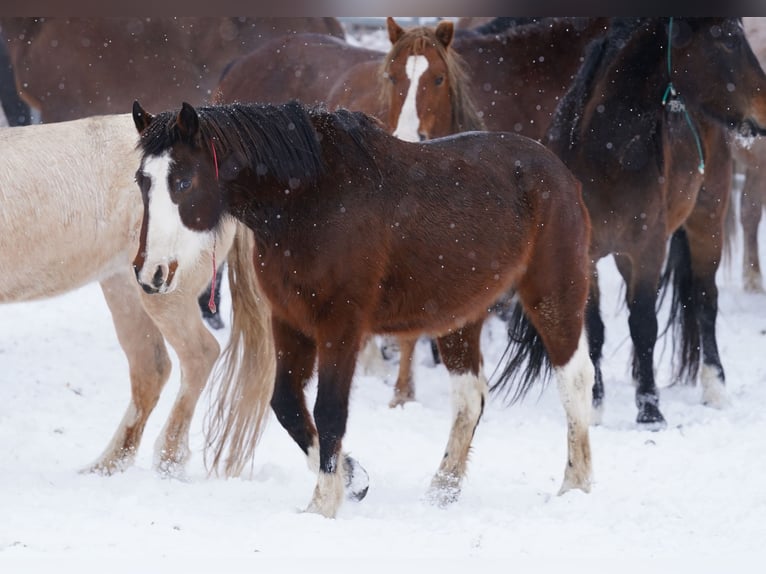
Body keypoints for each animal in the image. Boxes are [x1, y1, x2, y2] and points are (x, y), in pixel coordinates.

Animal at [0, 115, 272, 480]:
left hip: (164, 289)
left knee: (199, 354)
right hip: (125, 285)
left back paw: (169, 461)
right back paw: (105, 466)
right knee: (151, 368)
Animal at [130, 100, 600, 520]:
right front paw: (352, 478)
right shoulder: (290, 322)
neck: (307, 202)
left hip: (553, 295)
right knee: (470, 396)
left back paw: (575, 485)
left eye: (184, 182)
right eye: (141, 181)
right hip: (459, 317)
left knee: (576, 379)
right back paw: (443, 489)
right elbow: (286, 404)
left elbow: (329, 410)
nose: (149, 272)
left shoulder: (341, 327)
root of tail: (561, 173)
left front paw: (323, 503)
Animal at [544, 15, 766, 430]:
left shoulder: (648, 248)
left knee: (705, 300)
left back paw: (715, 386)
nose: (762, 112)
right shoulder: (587, 254)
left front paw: (649, 410)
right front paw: (595, 405)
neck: (606, 152)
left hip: (706, 222)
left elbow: (644, 324)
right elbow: (594, 329)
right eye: (727, 39)